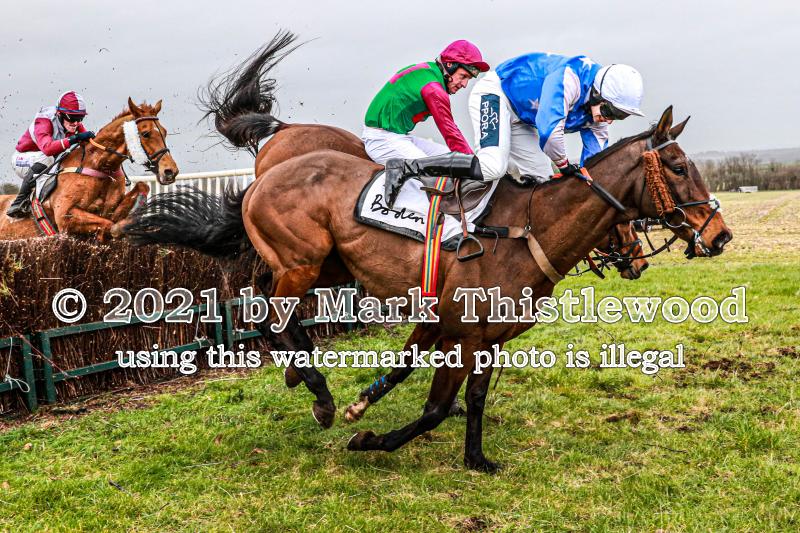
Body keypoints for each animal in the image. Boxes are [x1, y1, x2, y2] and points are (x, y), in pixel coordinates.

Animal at [0, 98, 178, 241]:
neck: (100, 165)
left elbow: (141, 187)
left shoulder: (110, 208)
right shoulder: (65, 215)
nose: (170, 171)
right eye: (146, 133)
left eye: (164, 132)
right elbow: (109, 225)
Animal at [126, 101, 732, 471]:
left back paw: (307, 379)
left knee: (269, 307)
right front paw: (369, 438)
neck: (524, 229)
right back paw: (319, 392)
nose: (719, 233)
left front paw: (476, 458)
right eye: (678, 167)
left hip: (324, 266)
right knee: (268, 314)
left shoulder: (482, 339)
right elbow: (437, 407)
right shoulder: (460, 337)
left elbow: (470, 397)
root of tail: (260, 178)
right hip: (301, 262)